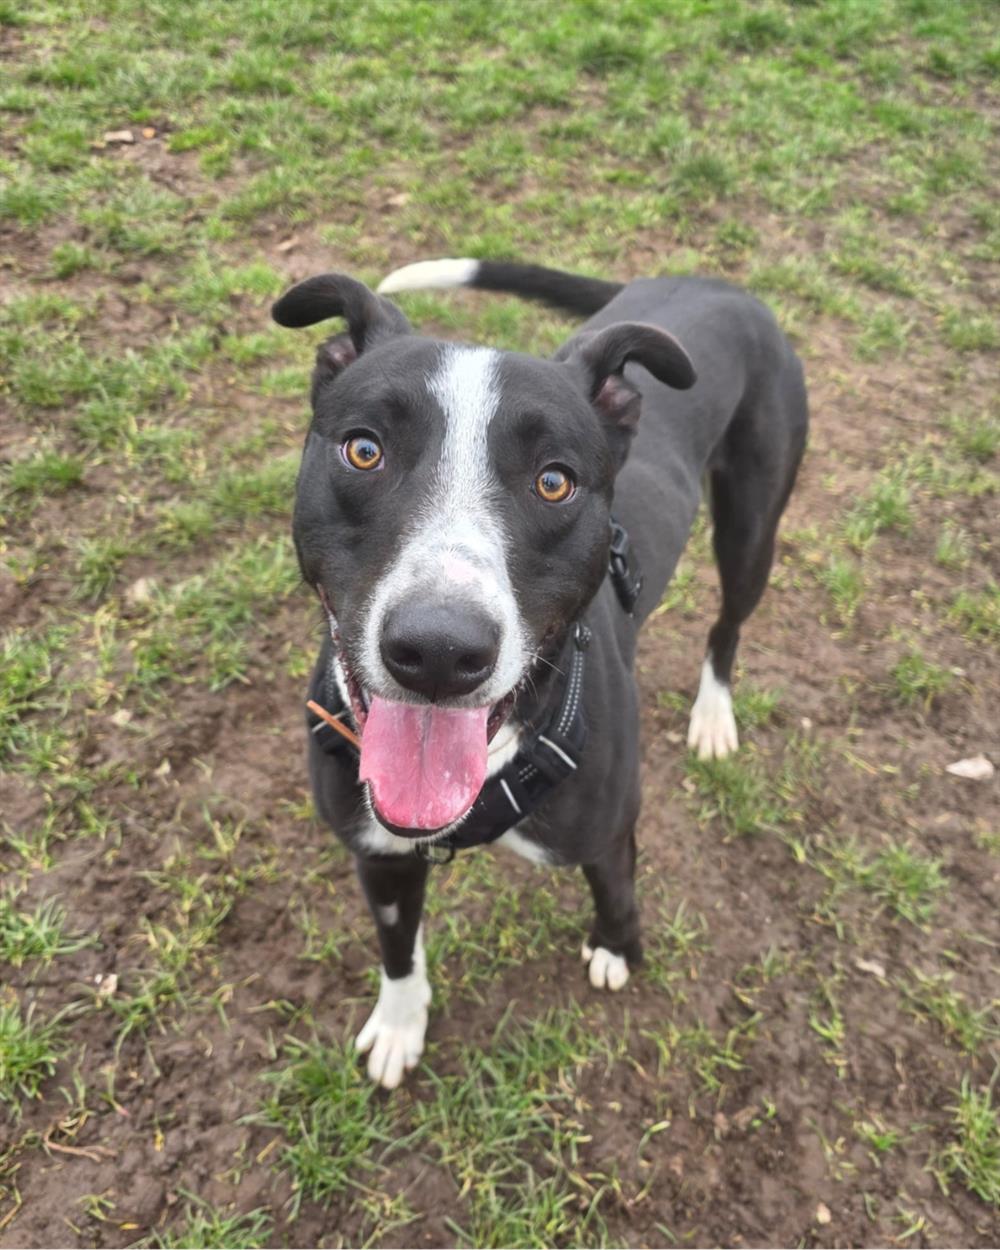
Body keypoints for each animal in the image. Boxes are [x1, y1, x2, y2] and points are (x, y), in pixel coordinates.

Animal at [272, 258, 808, 1088]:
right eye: (363, 450)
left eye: (555, 481)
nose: (439, 650)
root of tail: (711, 281)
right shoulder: (379, 857)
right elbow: (397, 946)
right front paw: (400, 1022)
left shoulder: (611, 833)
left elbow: (617, 893)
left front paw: (617, 948)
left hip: (752, 527)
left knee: (728, 624)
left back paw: (714, 714)